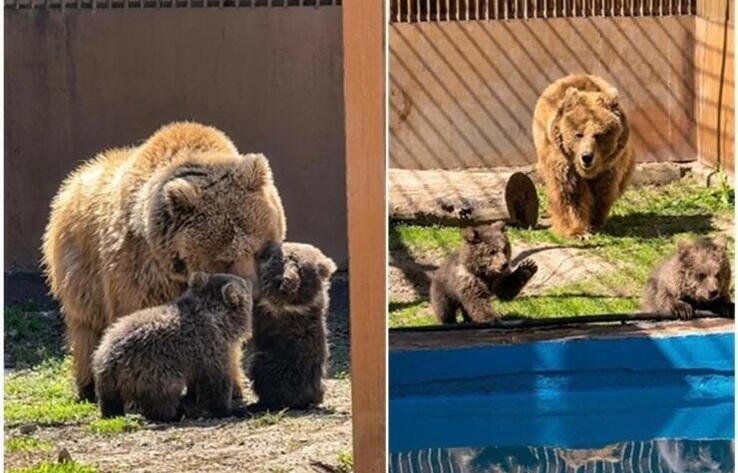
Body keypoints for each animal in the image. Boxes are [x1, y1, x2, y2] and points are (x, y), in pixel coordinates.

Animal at [42, 122, 286, 402]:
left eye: (261, 251)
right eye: (224, 258)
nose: (251, 293)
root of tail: (74, 179)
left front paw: (230, 387)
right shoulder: (142, 271)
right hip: (81, 271)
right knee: (86, 326)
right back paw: (90, 386)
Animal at [92, 272, 252, 422]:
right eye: (244, 286)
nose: (248, 281)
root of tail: (109, 363)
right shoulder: (215, 345)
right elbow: (217, 379)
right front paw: (228, 408)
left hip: (108, 384)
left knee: (110, 401)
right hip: (158, 375)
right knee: (161, 401)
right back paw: (174, 413)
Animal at [532, 74, 635, 238]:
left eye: (599, 135)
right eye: (578, 134)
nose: (587, 157)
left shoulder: (609, 166)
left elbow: (602, 191)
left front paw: (594, 222)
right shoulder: (562, 159)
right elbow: (570, 192)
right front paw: (577, 231)